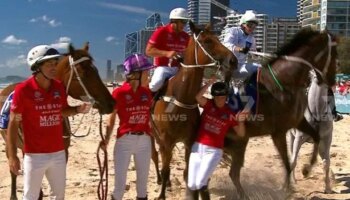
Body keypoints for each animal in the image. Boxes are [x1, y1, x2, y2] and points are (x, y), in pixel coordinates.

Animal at [0, 42, 115, 200]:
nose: (111, 103)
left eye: (96, 70)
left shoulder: (63, 153)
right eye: (84, 73)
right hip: (9, 144)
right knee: (13, 171)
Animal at [151, 21, 237, 199]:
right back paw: (160, 179)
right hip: (152, 134)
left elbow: (187, 172)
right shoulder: (167, 139)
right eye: (207, 41)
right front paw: (161, 194)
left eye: (218, 38)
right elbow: (166, 167)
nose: (233, 60)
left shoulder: (189, 141)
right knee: (156, 156)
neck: (181, 97)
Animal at [223, 28, 338, 199]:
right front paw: (286, 189)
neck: (284, 82)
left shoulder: (298, 124)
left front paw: (306, 169)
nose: (332, 81)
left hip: (240, 142)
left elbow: (315, 141)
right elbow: (288, 163)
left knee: (233, 173)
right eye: (335, 54)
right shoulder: (279, 132)